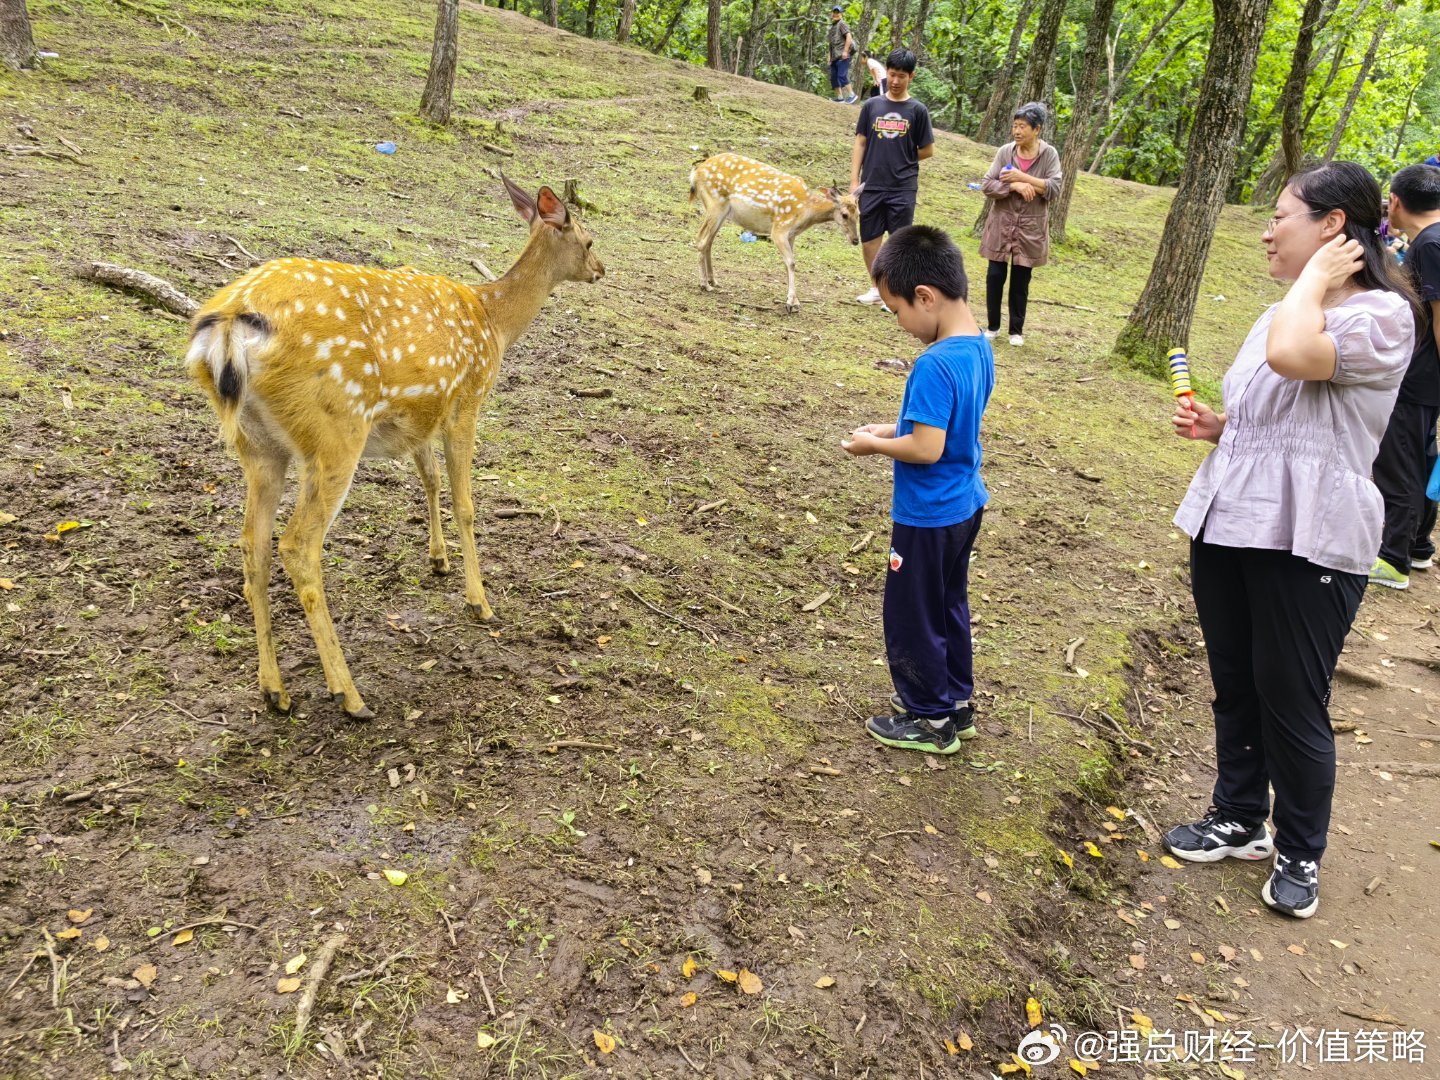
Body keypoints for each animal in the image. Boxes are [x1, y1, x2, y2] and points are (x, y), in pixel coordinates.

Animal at [188, 177, 604, 720]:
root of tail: (227, 328)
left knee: (251, 544)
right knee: (298, 545)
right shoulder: (466, 401)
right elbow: (466, 503)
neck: (493, 322)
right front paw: (479, 601)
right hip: (335, 431)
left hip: (256, 445)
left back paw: (273, 689)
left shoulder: (419, 420)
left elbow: (429, 480)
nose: (601, 269)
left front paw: (438, 559)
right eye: (589, 239)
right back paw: (349, 695)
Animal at [688, 152, 858, 312]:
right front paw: (790, 303)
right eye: (844, 214)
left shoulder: (792, 234)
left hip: (720, 211)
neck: (806, 211)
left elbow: (788, 263)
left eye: (859, 214)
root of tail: (695, 174)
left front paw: (794, 301)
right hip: (715, 204)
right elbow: (791, 262)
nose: (855, 240)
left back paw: (713, 280)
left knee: (709, 241)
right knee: (701, 239)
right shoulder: (779, 229)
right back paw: (704, 284)